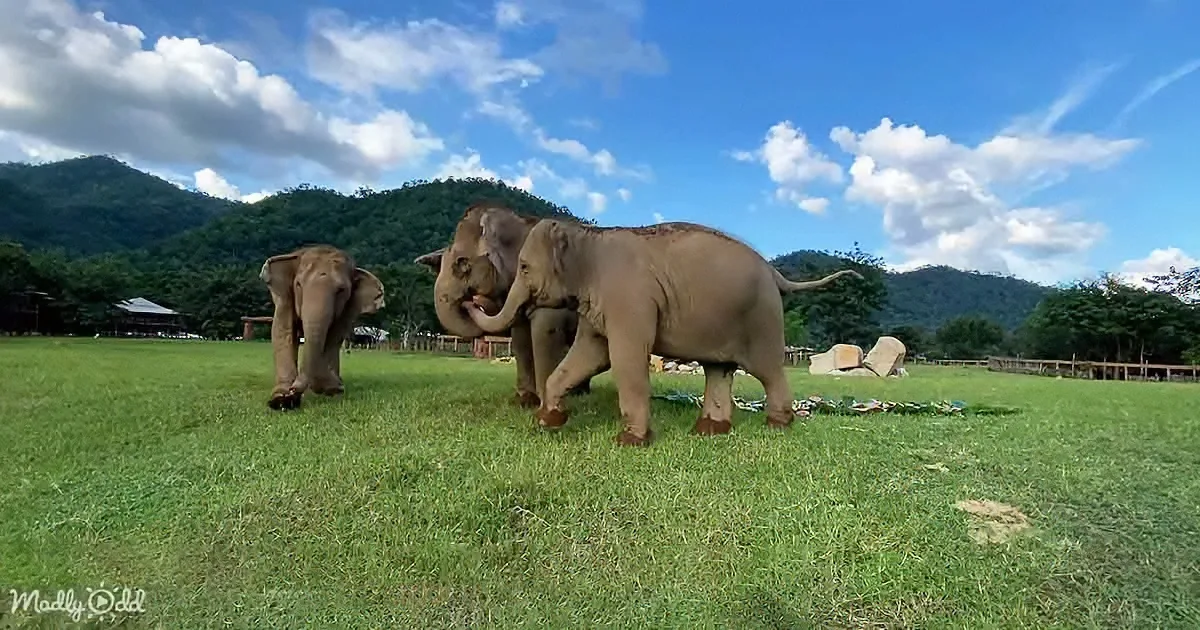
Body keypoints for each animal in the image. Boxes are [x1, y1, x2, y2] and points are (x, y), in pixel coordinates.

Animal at [260, 244, 385, 410]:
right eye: (298, 285)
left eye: (341, 290)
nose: (293, 391)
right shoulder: (284, 299)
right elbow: (283, 330)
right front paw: (281, 399)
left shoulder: (349, 307)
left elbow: (334, 335)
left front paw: (328, 388)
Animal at [415, 203, 595, 408]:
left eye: (463, 263)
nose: (473, 301)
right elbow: (521, 339)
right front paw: (524, 401)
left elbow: (544, 332)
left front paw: (544, 404)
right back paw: (579, 393)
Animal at [464, 219, 863, 446]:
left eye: (524, 267)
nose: (472, 296)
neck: (589, 239)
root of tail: (775, 272)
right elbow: (589, 356)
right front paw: (548, 422)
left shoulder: (629, 299)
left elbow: (625, 359)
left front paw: (630, 441)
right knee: (719, 370)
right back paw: (709, 431)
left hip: (762, 318)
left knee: (768, 370)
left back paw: (777, 425)